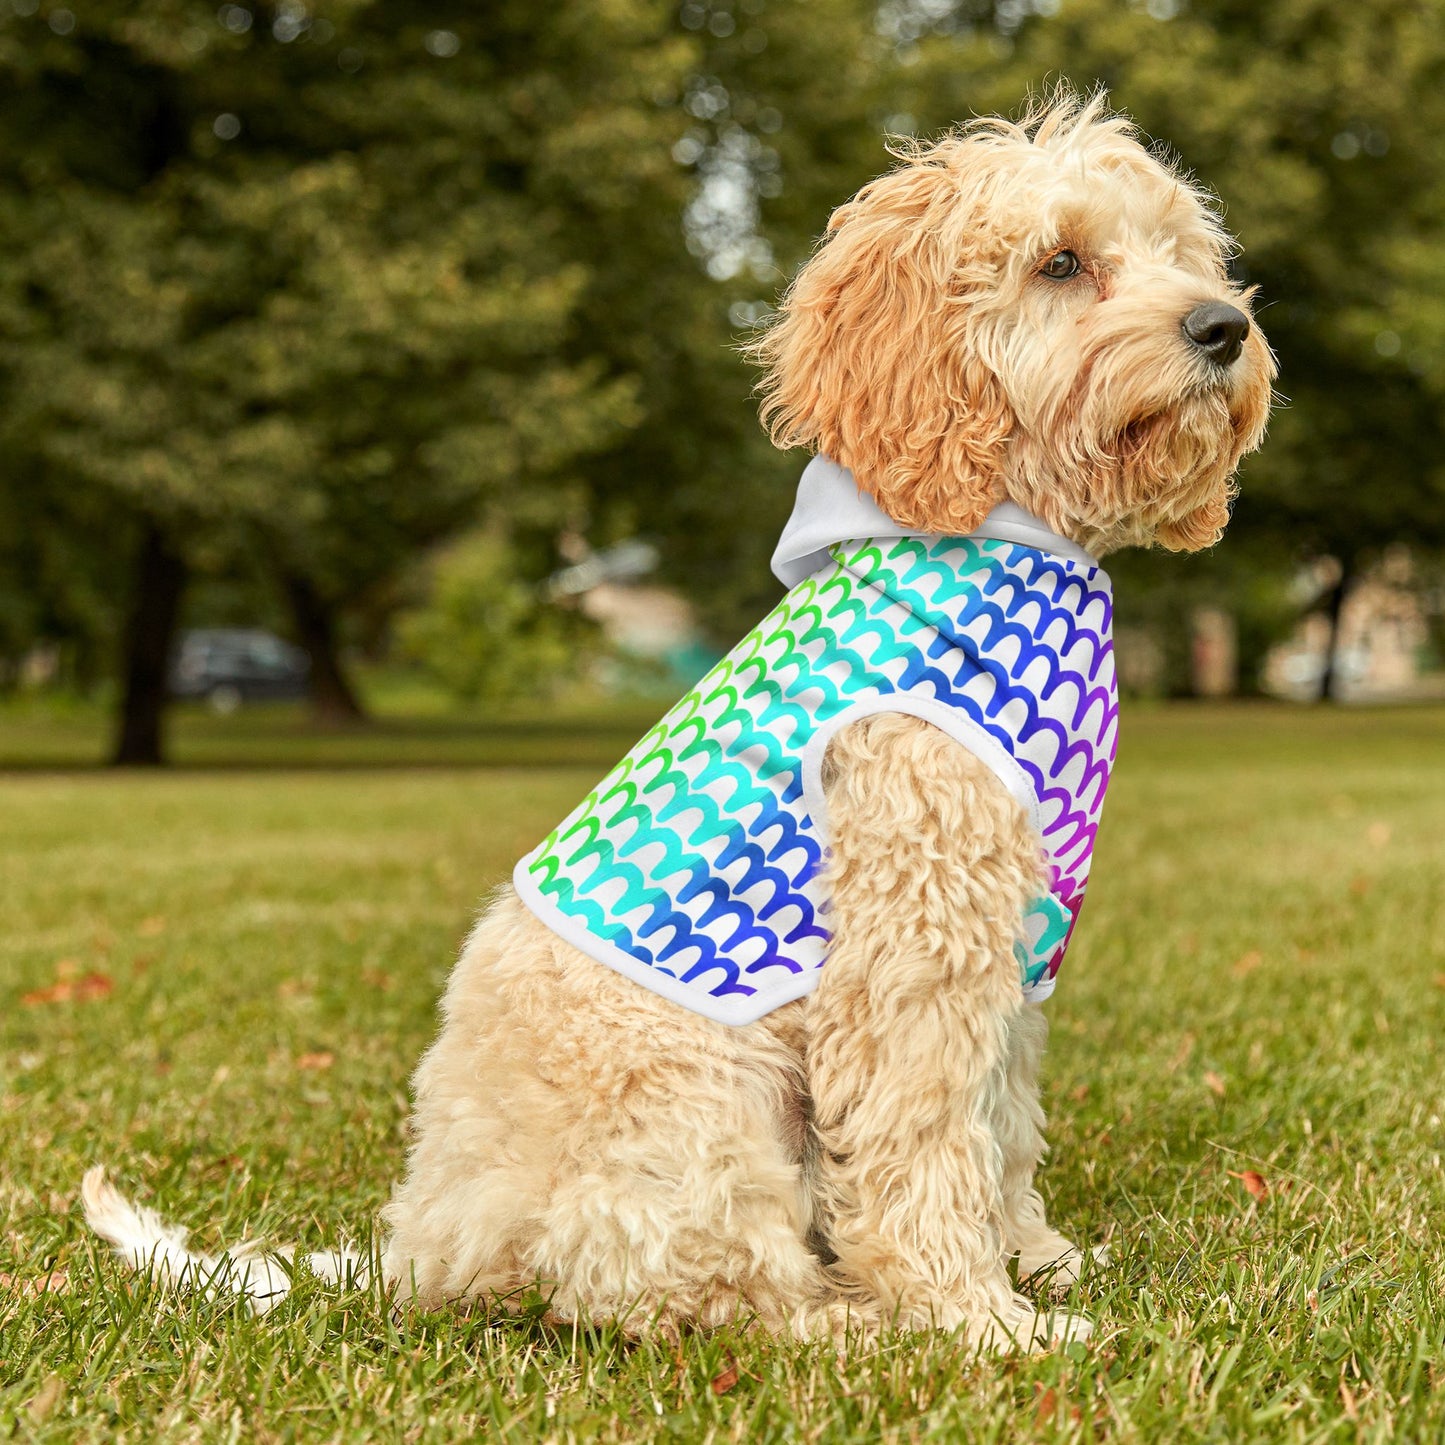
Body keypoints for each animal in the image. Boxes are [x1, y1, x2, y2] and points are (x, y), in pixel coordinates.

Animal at [84, 93, 1271, 1352]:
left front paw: (1036, 1260)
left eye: (1181, 252)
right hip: (701, 1104)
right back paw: (852, 1322)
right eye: (1059, 262)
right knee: (701, 1292)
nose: (1222, 327)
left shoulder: (1012, 942)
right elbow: (924, 1138)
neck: (1007, 533)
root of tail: (423, 1246)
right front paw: (977, 1318)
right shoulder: (913, 935)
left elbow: (999, 1122)